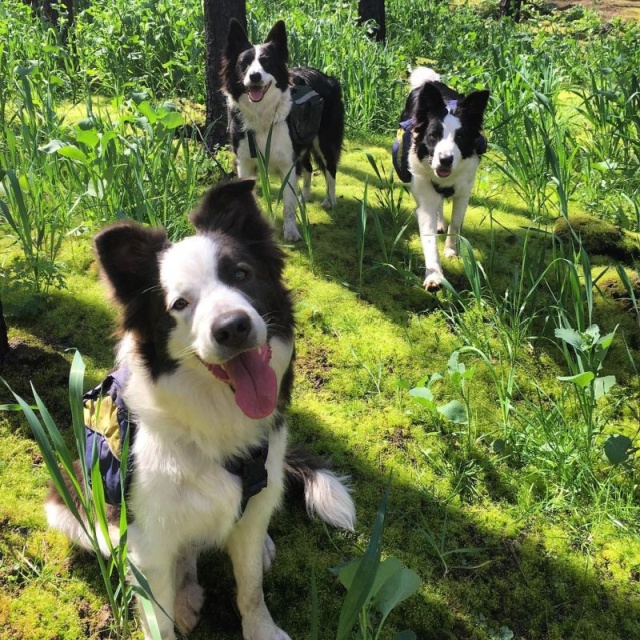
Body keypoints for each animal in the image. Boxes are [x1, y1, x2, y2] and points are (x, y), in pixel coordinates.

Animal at [45, 179, 356, 640]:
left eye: (241, 274)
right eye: (179, 304)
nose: (233, 328)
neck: (212, 421)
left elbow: (251, 590)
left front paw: (261, 630)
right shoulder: (148, 539)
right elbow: (158, 616)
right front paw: (175, 604)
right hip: (71, 505)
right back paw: (186, 595)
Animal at [224, 18, 348, 242]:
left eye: (266, 62)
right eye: (243, 64)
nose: (254, 76)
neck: (262, 115)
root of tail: (328, 77)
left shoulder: (287, 162)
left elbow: (288, 206)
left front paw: (291, 231)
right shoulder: (245, 162)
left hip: (324, 141)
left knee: (330, 169)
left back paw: (330, 200)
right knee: (308, 167)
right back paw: (304, 196)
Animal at [396, 66, 490, 292]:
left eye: (460, 137)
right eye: (433, 135)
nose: (445, 160)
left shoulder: (464, 192)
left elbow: (455, 225)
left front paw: (451, 251)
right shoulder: (424, 194)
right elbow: (429, 240)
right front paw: (434, 275)